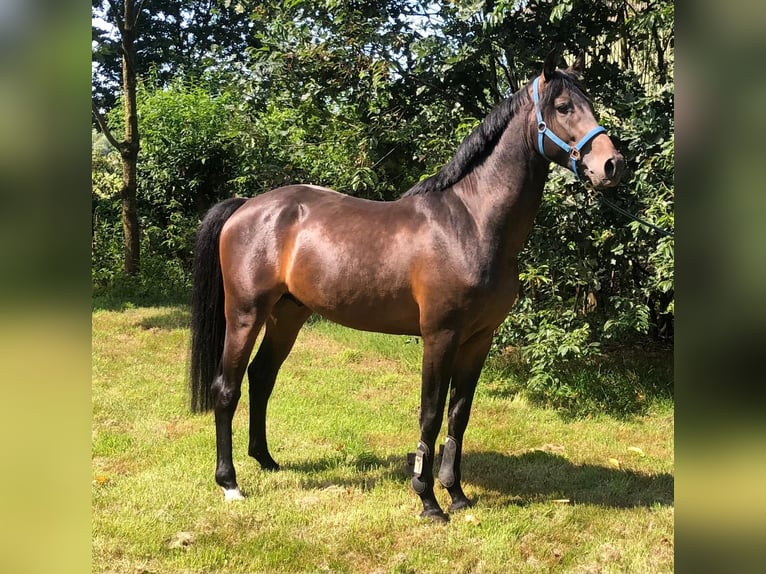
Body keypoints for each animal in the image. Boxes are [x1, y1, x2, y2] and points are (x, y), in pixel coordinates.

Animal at [189, 51, 628, 524]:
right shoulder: (440, 336)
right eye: (563, 107)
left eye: (591, 104)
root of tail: (246, 207)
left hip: (288, 314)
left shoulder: (480, 339)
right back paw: (230, 482)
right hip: (245, 314)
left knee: (262, 377)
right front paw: (428, 500)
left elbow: (458, 415)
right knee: (227, 388)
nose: (612, 165)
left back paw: (266, 460)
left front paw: (457, 493)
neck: (471, 223)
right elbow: (431, 414)